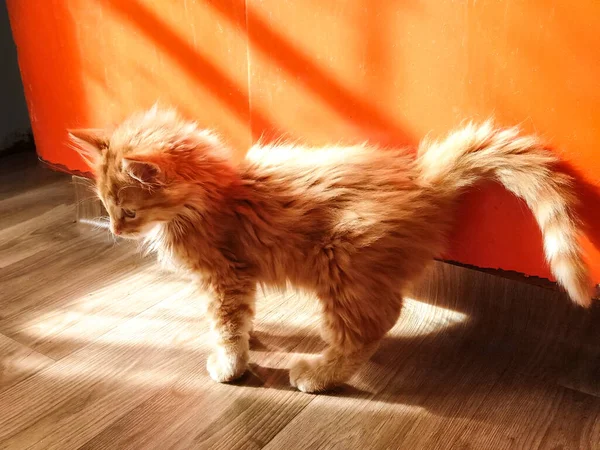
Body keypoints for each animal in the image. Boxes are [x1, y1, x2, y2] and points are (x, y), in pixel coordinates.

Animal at [69, 107, 592, 392]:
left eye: (128, 211)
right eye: (105, 206)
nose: (114, 230)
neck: (212, 196)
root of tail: (423, 180)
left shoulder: (224, 277)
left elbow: (226, 326)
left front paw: (230, 364)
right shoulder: (239, 280)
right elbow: (240, 320)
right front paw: (250, 338)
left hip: (343, 270)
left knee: (369, 329)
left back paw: (318, 373)